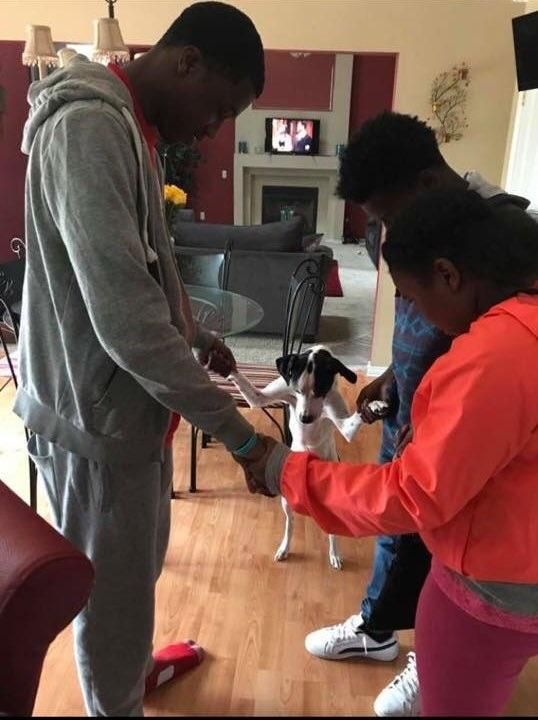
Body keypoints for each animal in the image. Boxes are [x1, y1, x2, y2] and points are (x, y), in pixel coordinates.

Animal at [230, 345, 387, 569]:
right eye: (297, 391)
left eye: (319, 391)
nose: (305, 418)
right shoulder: (267, 395)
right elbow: (252, 392)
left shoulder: (343, 424)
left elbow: (355, 418)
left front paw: (373, 406)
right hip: (286, 501)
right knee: (290, 524)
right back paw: (284, 548)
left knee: (331, 530)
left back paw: (334, 553)